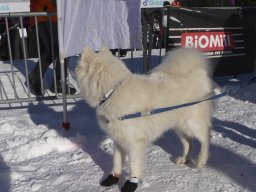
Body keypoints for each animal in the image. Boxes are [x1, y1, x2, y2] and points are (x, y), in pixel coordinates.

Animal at [76, 47, 214, 192]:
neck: (112, 91)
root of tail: (198, 72)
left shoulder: (135, 143)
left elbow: (134, 165)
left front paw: (131, 184)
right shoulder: (118, 139)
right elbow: (117, 161)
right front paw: (113, 178)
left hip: (192, 123)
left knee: (206, 137)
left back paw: (201, 160)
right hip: (179, 125)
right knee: (188, 142)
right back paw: (184, 159)